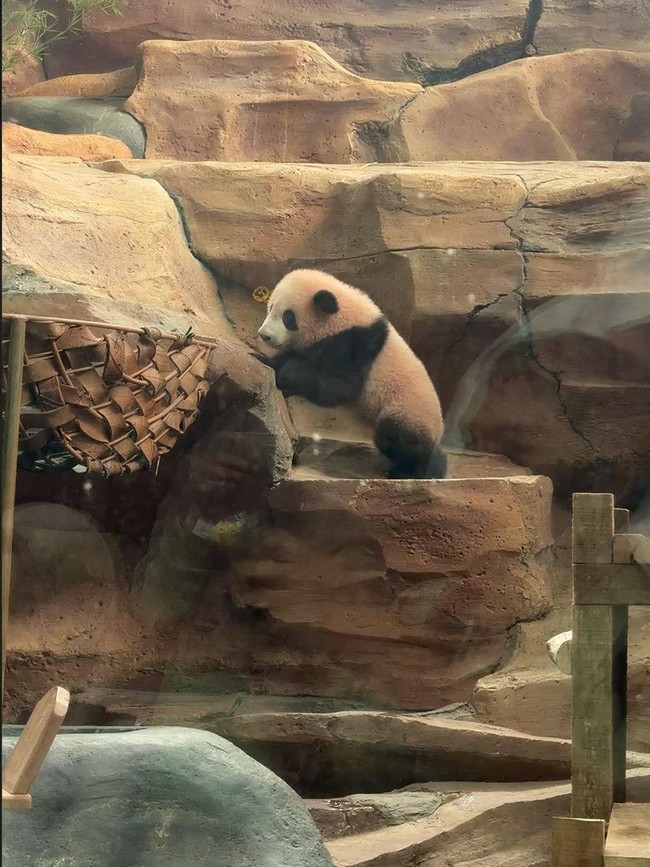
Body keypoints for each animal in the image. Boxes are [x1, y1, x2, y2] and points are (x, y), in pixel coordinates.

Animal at [257, 269, 447, 480]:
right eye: (270, 307)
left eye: (288, 317)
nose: (264, 335)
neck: (342, 317)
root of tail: (438, 431)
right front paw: (263, 359)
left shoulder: (355, 346)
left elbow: (340, 388)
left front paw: (288, 374)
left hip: (407, 410)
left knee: (398, 438)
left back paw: (411, 471)